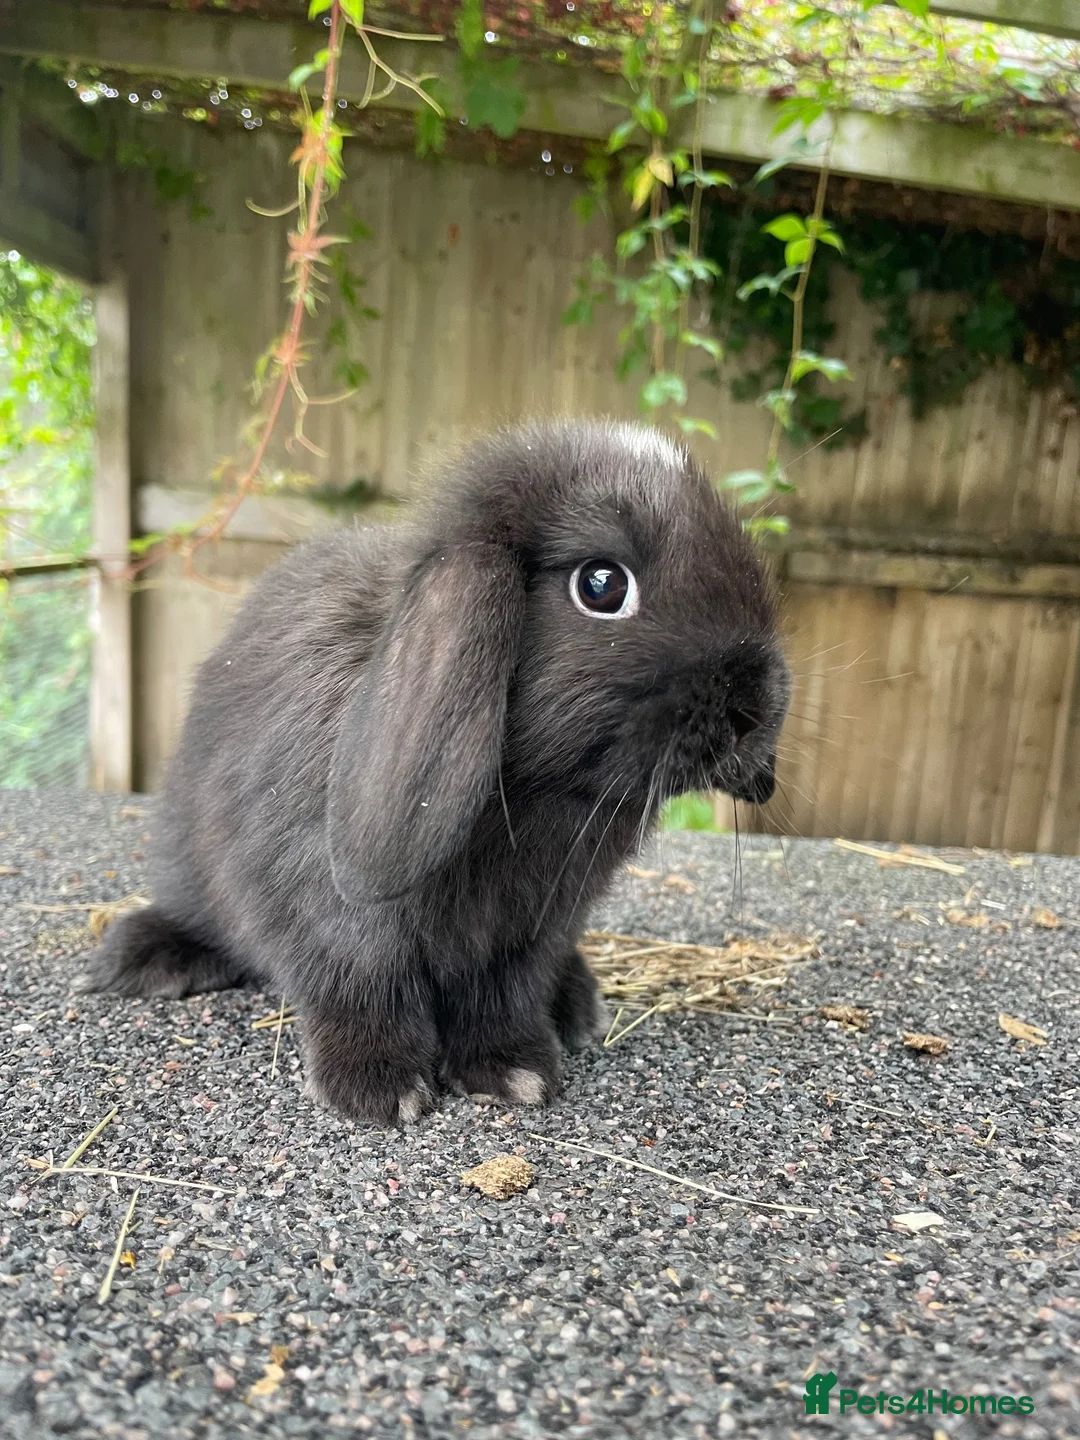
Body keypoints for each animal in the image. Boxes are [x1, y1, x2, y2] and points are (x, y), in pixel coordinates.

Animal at [79, 419, 790, 1124]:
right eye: (601, 585)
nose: (756, 709)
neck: (528, 790)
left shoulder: (532, 930)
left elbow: (503, 996)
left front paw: (512, 1073)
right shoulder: (331, 914)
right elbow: (361, 987)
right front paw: (377, 1088)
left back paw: (579, 1005)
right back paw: (146, 959)